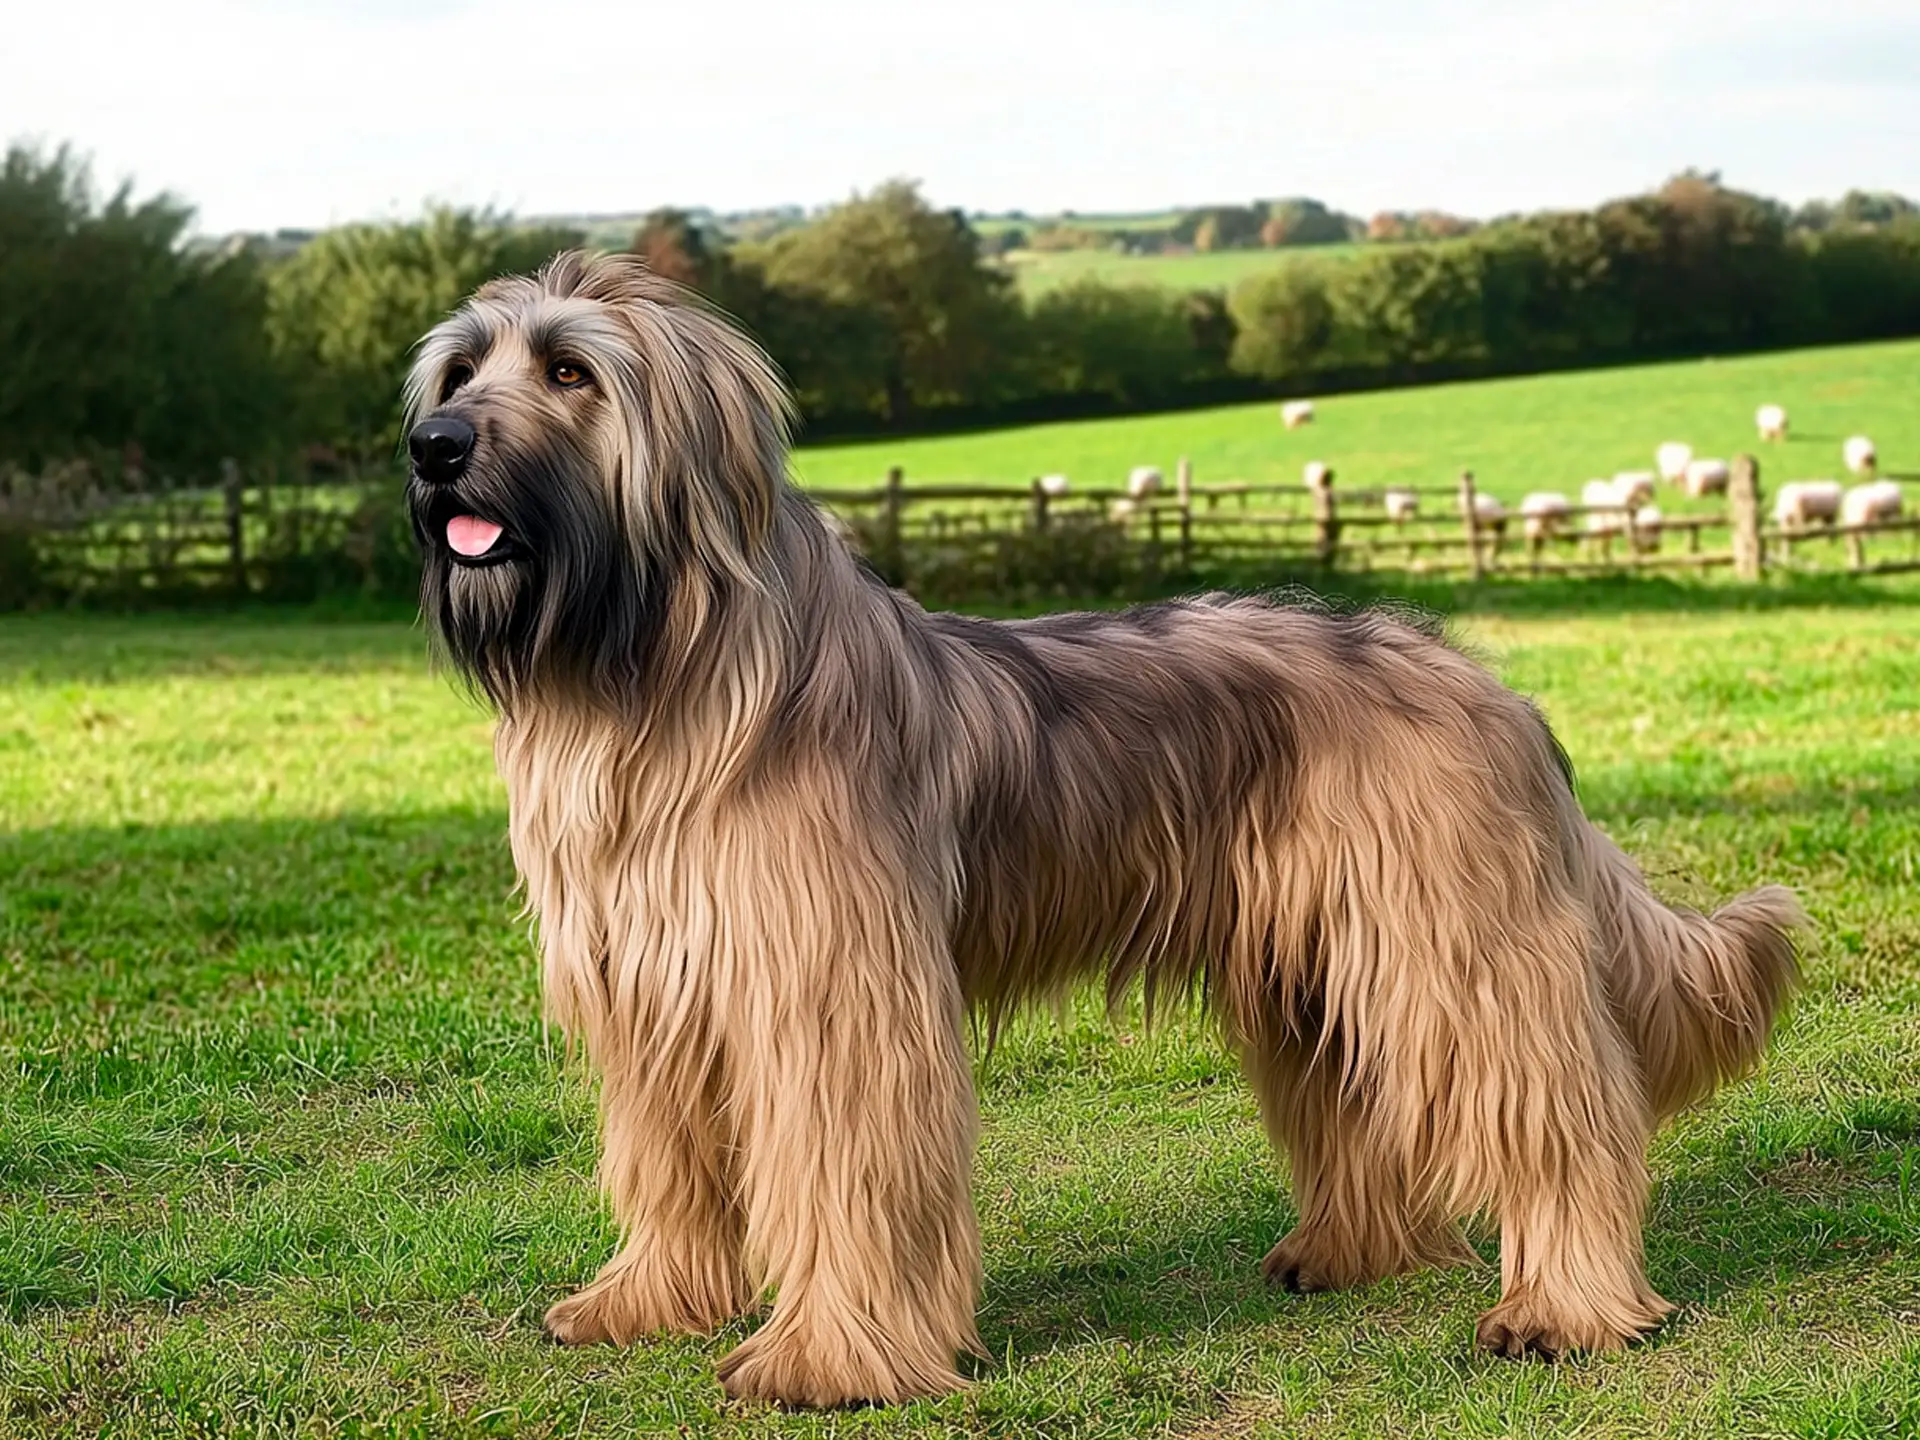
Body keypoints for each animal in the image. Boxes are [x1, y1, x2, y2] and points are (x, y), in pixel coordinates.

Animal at [397, 251, 1804, 1413]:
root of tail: (1483, 680)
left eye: (570, 371)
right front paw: (649, 1304)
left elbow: (849, 1177)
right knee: (1357, 1102)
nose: (432, 446)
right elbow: (668, 1168)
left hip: (1454, 949)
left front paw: (830, 1359)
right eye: (463, 369)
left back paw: (1565, 1306)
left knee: (1562, 1114)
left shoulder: (832, 997)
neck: (656, 675)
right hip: (1313, 964)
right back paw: (1354, 1252)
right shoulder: (653, 992)